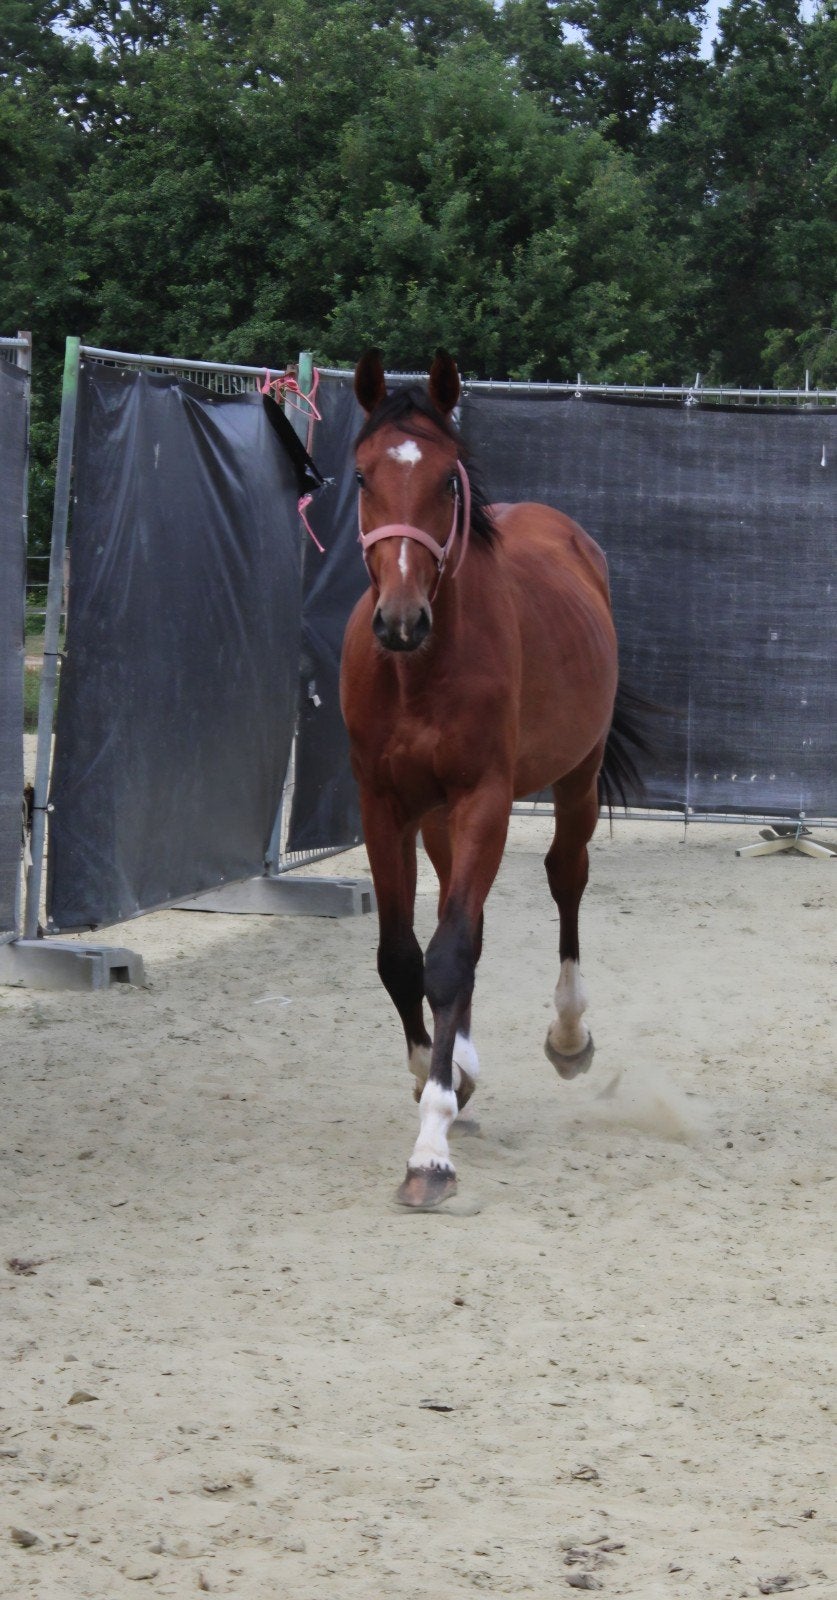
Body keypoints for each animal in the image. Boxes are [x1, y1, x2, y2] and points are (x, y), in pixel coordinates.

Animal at [340, 349, 644, 1208]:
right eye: (363, 474)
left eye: (448, 480)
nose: (400, 618)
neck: (419, 670)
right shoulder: (384, 805)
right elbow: (404, 957)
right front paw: (438, 1079)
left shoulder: (485, 800)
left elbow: (448, 956)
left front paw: (431, 1149)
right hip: (439, 818)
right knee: (457, 911)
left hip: (573, 780)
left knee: (563, 878)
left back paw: (568, 1034)